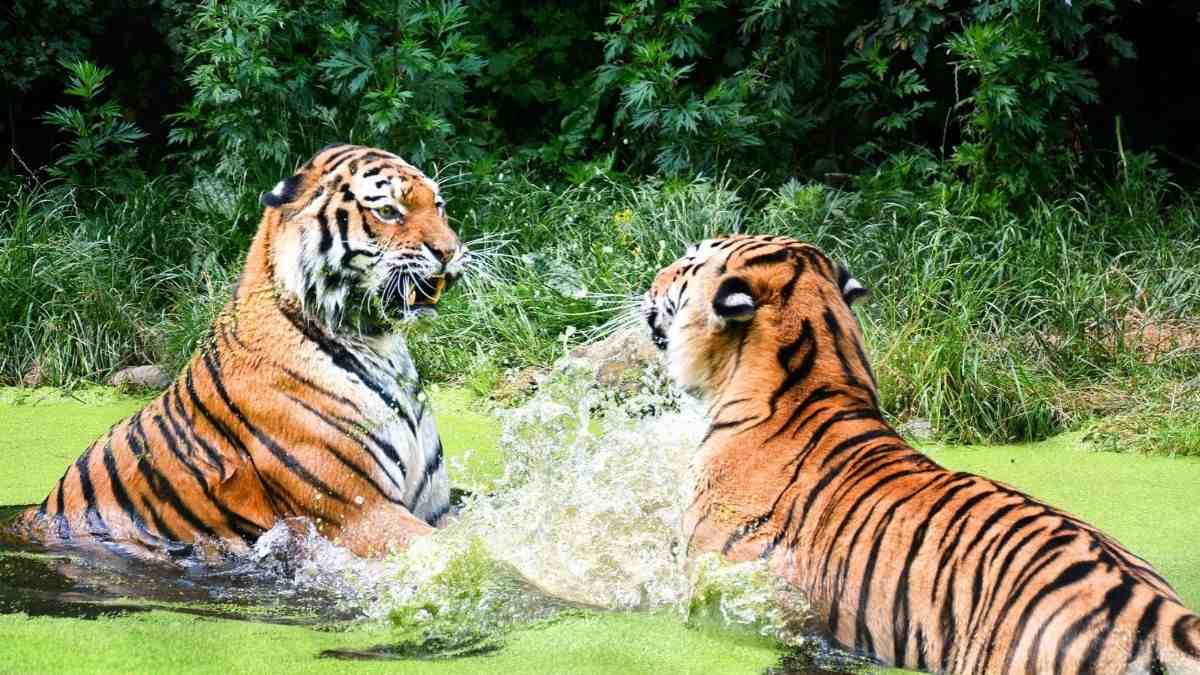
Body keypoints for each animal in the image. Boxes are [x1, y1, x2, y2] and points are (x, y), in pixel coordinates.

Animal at [7, 144, 468, 558]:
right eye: (388, 211)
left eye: (439, 206)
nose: (450, 251)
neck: (379, 344)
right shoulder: (361, 513)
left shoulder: (434, 508)